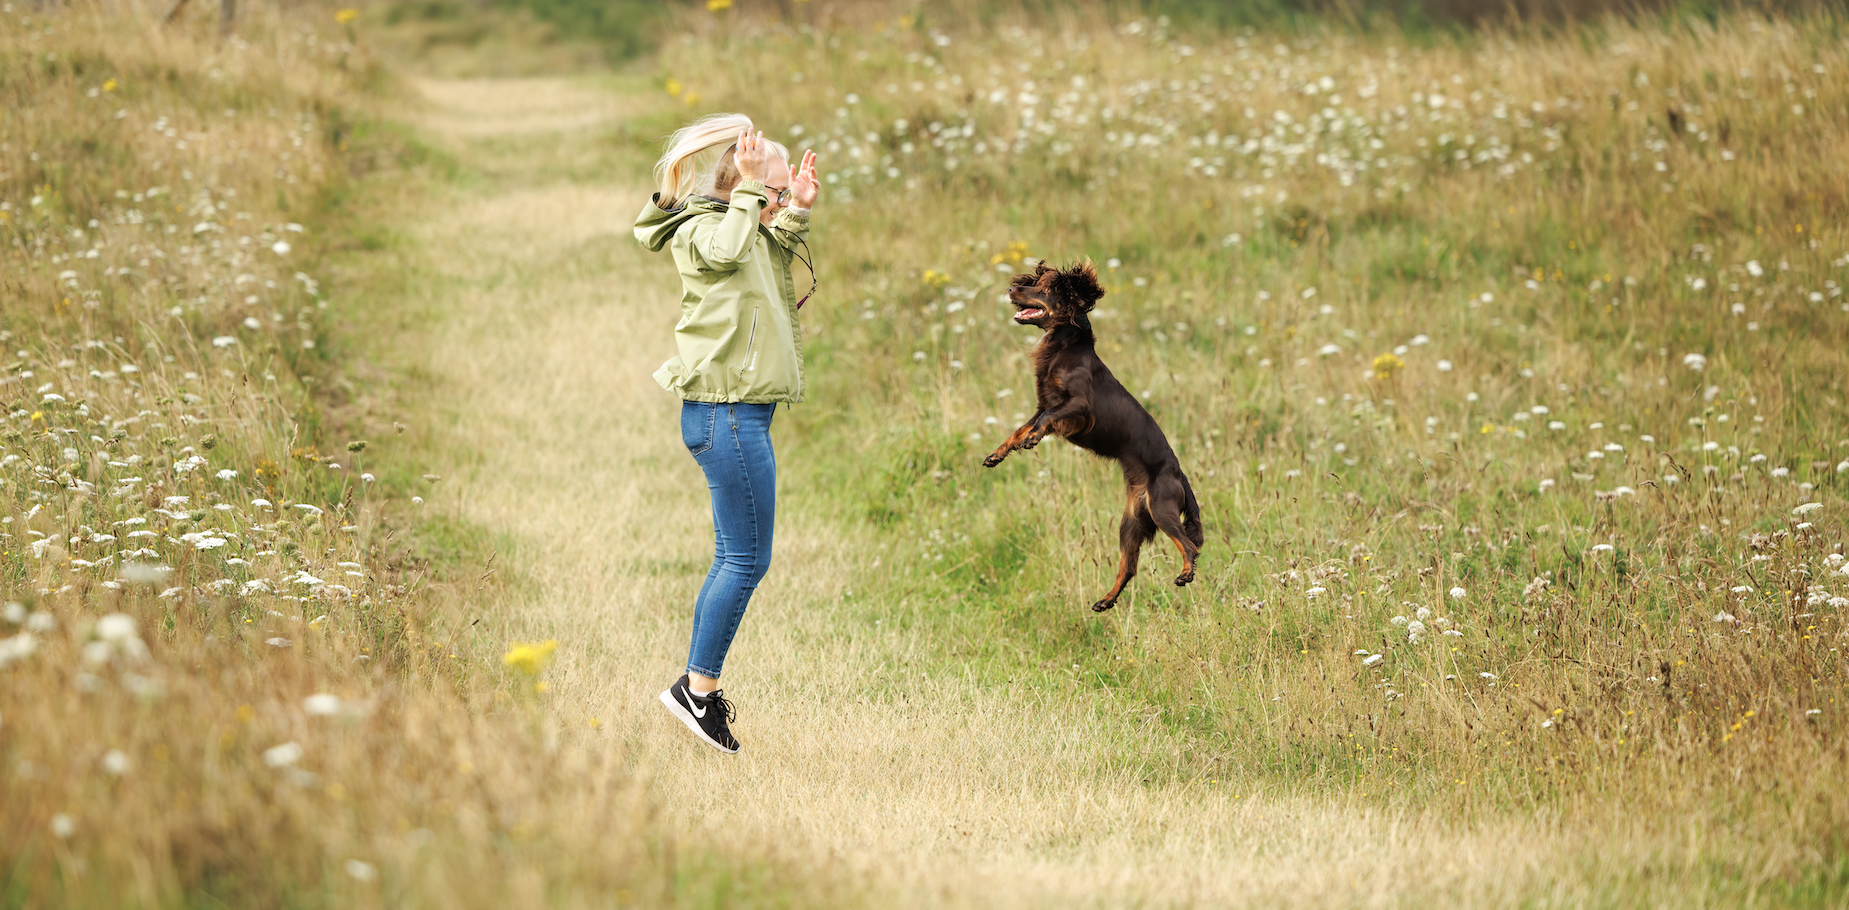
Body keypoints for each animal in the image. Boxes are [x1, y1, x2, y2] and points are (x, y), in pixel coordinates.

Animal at [983, 258, 1198, 610]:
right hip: (1132, 522)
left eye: (1043, 289)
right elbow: (1020, 428)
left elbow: (1046, 419)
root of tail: (1180, 475)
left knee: (1189, 545)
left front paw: (1031, 439)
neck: (1064, 348)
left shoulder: (1079, 406)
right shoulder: (1044, 403)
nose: (1012, 288)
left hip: (1162, 507)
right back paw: (1106, 600)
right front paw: (997, 454)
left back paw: (1186, 574)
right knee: (1129, 565)